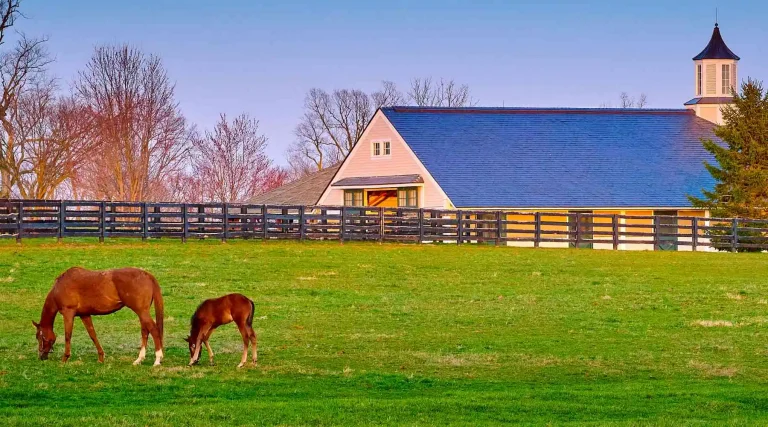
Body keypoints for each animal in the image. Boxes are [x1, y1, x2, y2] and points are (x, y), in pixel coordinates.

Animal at [33, 267, 164, 366]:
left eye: (39, 336)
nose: (41, 356)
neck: (59, 287)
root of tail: (147, 275)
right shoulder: (84, 315)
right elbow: (93, 335)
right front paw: (101, 357)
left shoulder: (68, 313)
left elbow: (67, 336)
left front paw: (65, 358)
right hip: (142, 312)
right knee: (145, 331)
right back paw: (139, 359)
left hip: (141, 311)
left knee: (153, 330)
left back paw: (157, 359)